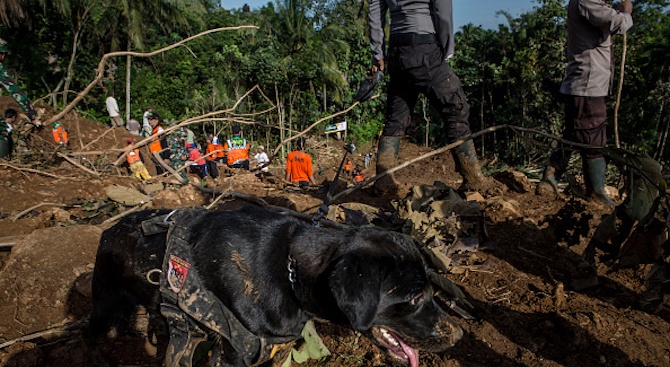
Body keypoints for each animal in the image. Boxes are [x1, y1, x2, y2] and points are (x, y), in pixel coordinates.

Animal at [89, 206, 464, 366]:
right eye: (414, 297)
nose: (459, 334)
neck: (291, 273)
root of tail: (108, 229)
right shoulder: (234, 357)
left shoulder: (274, 348)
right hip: (103, 304)